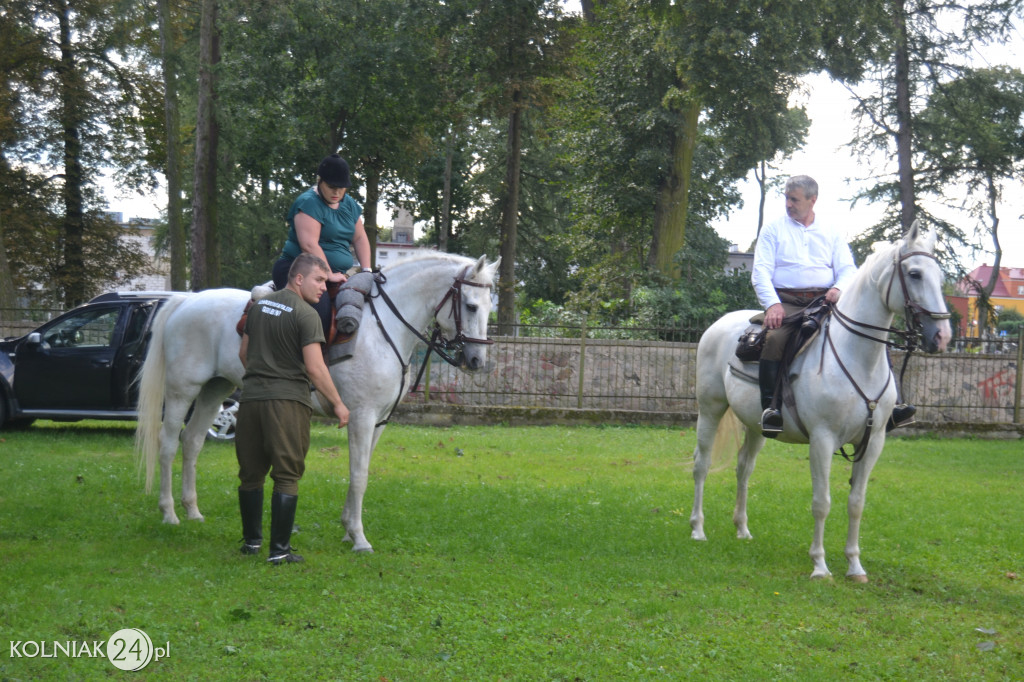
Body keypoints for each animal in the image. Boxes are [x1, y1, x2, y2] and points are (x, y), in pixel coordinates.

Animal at [137, 251, 499, 548]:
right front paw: (359, 537)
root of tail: (187, 301)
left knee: (192, 442)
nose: (476, 360)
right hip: (183, 390)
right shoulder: (361, 417)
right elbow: (359, 475)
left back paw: (193, 511)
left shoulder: (378, 422)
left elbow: (362, 471)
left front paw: (348, 528)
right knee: (168, 444)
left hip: (215, 389)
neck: (382, 328)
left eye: (489, 307)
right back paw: (169, 513)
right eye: (471, 306)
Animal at [688, 222, 950, 577]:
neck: (857, 358)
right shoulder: (823, 440)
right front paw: (820, 565)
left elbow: (856, 502)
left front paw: (854, 564)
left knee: (744, 468)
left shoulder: (873, 442)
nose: (942, 336)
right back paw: (698, 529)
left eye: (940, 276)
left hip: (757, 426)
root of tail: (719, 324)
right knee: (701, 465)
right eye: (914, 274)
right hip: (711, 410)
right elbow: (822, 502)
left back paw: (742, 528)